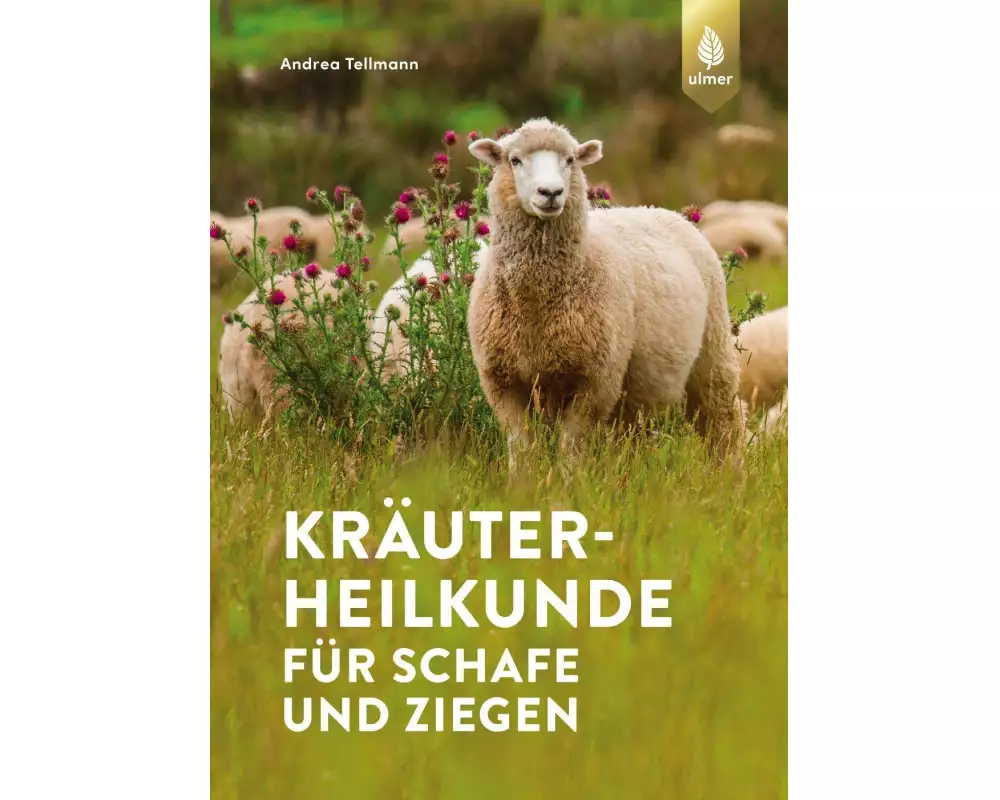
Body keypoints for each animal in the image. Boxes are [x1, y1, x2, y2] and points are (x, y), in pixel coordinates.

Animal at [467, 118, 744, 466]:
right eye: (514, 160)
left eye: (570, 160)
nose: (551, 193)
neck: (536, 308)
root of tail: (659, 210)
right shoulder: (502, 380)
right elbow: (523, 447)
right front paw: (523, 479)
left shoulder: (596, 380)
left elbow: (571, 447)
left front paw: (569, 479)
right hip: (638, 389)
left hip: (712, 349)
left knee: (723, 417)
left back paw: (728, 470)